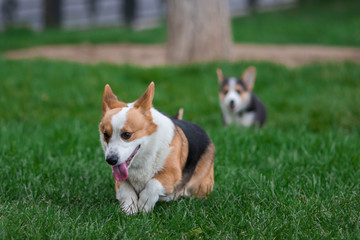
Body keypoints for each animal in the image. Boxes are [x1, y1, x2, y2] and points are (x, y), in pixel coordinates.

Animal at [98, 82, 214, 214]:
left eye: (127, 134)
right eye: (106, 135)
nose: (110, 160)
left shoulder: (172, 174)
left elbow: (153, 183)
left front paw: (144, 205)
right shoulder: (119, 179)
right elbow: (126, 189)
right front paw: (129, 208)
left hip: (199, 186)